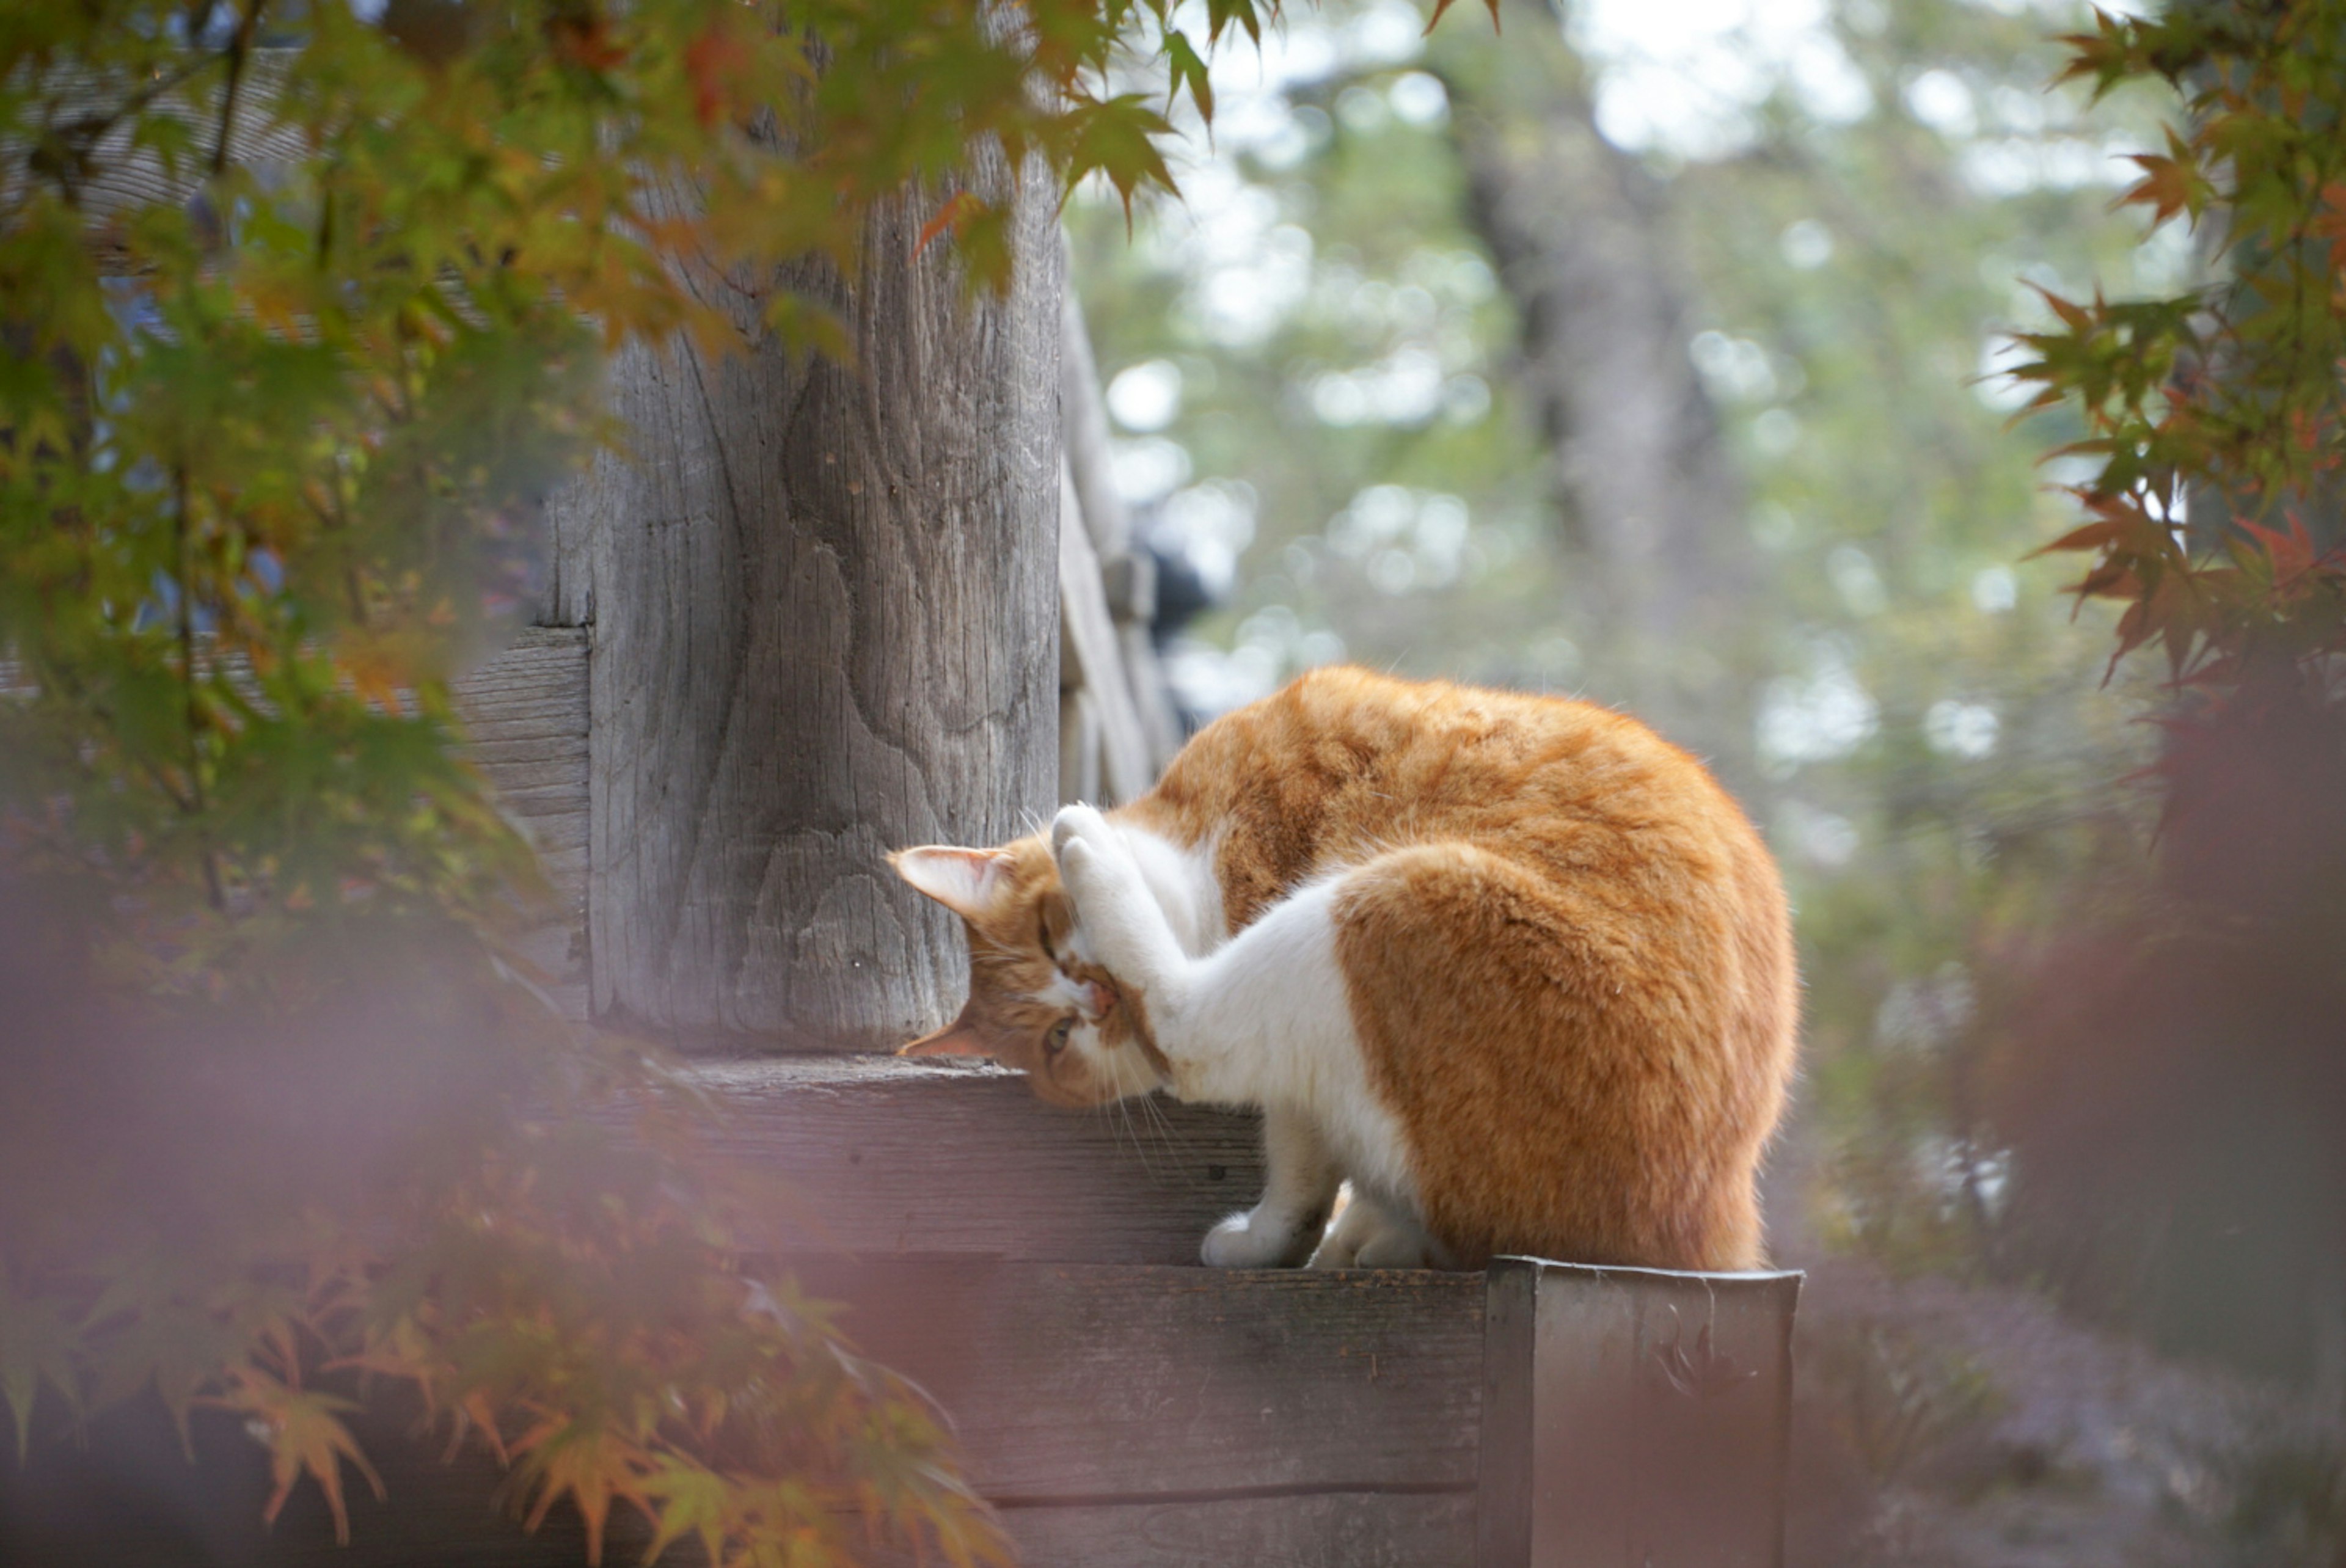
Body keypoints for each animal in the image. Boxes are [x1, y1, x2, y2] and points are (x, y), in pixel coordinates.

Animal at [891, 666, 1792, 1267]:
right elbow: (1299, 1165)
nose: (1094, 993)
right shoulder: (1306, 1081)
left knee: (1192, 1035)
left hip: (1389, 897)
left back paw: (1090, 848)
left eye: (1051, 934)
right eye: (1056, 1039)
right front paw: (1275, 1241)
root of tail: (1711, 1221)